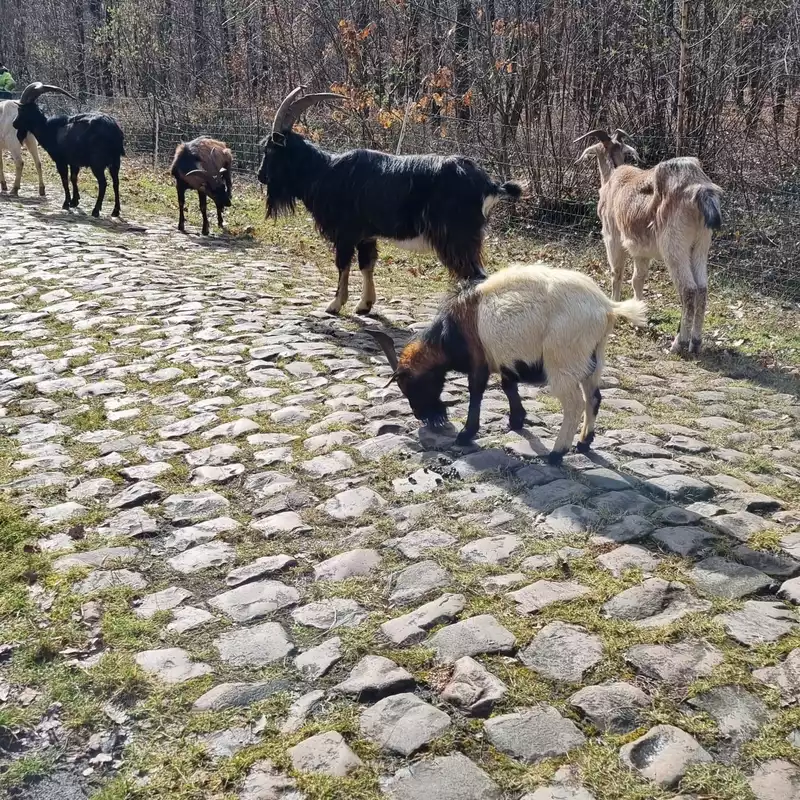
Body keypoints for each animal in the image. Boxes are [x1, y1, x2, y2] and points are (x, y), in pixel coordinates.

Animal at [12, 83, 126, 217]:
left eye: (21, 110)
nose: (14, 123)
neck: (48, 128)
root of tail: (114, 130)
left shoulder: (61, 161)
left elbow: (65, 180)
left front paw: (66, 203)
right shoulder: (74, 162)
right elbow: (73, 178)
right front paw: (74, 201)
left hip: (97, 163)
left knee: (103, 183)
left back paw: (96, 210)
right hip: (115, 161)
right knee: (116, 182)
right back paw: (115, 211)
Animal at [256, 86, 528, 314]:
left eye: (270, 149)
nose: (260, 175)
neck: (324, 172)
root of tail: (487, 184)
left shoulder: (346, 233)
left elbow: (342, 265)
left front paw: (334, 305)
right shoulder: (366, 235)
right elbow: (366, 265)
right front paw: (364, 305)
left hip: (456, 238)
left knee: (476, 276)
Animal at [366, 262, 648, 462]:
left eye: (411, 385)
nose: (422, 416)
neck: (451, 331)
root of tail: (607, 308)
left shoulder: (479, 361)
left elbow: (476, 393)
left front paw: (465, 434)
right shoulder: (505, 361)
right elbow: (508, 386)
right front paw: (516, 420)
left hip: (563, 361)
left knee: (574, 404)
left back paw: (557, 454)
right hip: (593, 360)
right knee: (594, 398)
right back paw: (584, 443)